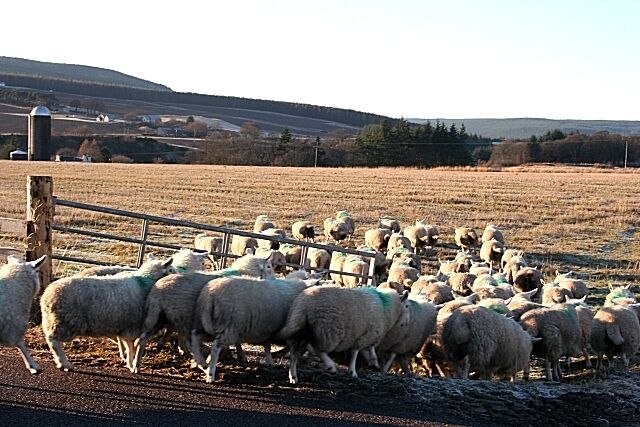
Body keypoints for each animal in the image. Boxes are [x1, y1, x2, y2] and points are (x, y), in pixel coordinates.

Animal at [40, 256, 176, 373]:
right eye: (170, 270)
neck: (144, 284)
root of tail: (46, 296)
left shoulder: (124, 327)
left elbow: (127, 345)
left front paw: (128, 361)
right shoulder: (132, 326)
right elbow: (130, 347)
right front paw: (131, 364)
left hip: (59, 321)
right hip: (67, 322)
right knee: (53, 341)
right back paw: (64, 363)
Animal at [191, 272, 320, 382]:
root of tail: (209, 294)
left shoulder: (269, 329)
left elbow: (268, 345)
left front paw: (271, 361)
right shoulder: (295, 335)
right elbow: (293, 355)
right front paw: (293, 376)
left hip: (210, 324)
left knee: (195, 337)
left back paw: (200, 363)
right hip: (228, 326)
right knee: (215, 348)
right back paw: (210, 373)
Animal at [279, 286, 410, 384]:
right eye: (407, 306)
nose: (407, 323)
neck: (386, 308)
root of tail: (303, 305)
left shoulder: (367, 335)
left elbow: (370, 349)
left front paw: (374, 363)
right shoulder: (365, 335)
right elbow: (355, 352)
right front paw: (353, 371)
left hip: (302, 329)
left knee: (295, 353)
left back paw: (293, 376)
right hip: (328, 331)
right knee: (317, 349)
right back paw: (330, 366)